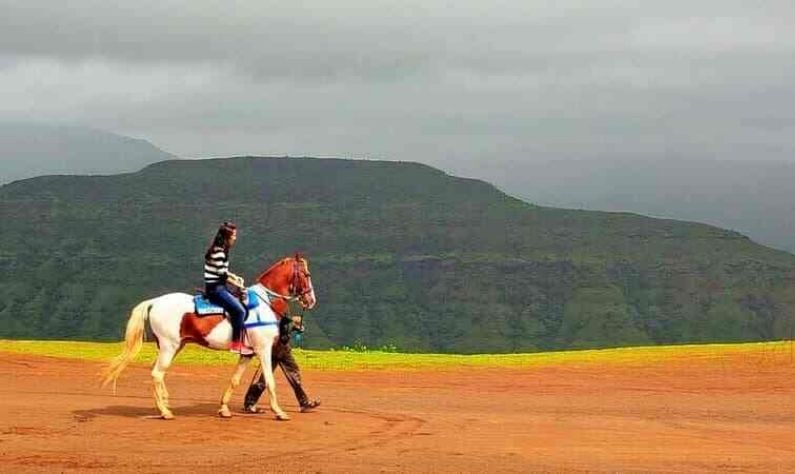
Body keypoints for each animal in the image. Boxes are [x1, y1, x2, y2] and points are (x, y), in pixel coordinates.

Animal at [103, 256, 318, 418]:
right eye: (306, 274)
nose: (311, 300)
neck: (265, 304)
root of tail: (155, 302)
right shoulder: (264, 350)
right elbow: (270, 380)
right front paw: (279, 412)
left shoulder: (247, 354)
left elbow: (235, 380)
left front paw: (224, 409)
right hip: (169, 346)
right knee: (157, 373)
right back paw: (165, 411)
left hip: (175, 346)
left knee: (158, 372)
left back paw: (165, 402)